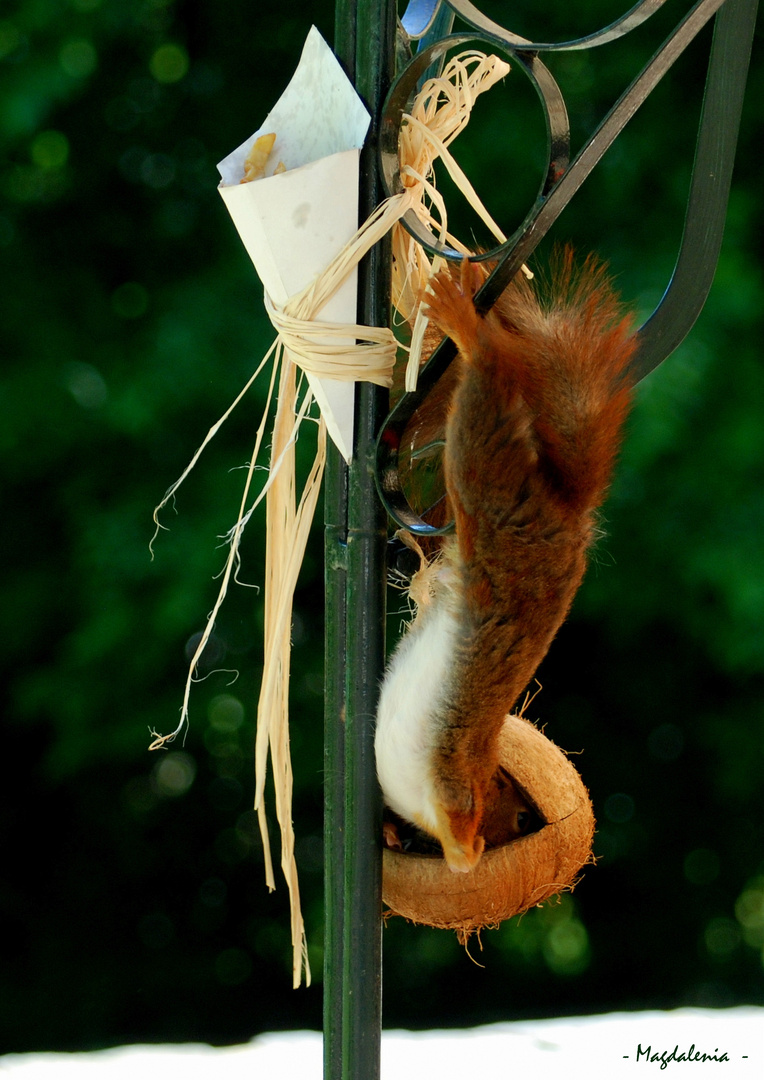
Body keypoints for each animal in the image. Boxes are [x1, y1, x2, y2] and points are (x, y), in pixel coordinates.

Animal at [376, 250, 635, 868]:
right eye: (520, 815)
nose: (519, 823)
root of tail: (567, 513)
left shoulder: (452, 785)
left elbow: (460, 857)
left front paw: (407, 838)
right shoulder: (457, 780)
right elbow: (464, 846)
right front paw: (459, 847)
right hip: (485, 482)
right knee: (487, 388)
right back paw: (470, 327)